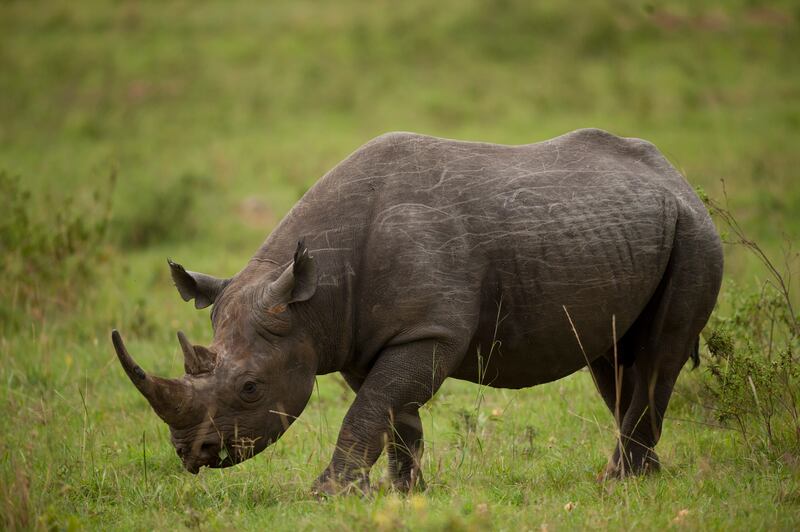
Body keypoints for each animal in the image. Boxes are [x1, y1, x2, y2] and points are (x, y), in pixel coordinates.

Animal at [112, 128, 723, 493]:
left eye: (249, 388)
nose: (191, 454)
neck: (311, 301)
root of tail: (675, 176)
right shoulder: (363, 336)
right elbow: (392, 413)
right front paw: (405, 495)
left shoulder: (428, 331)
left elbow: (369, 409)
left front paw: (329, 494)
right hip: (632, 229)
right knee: (612, 362)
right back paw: (639, 478)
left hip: (696, 233)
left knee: (657, 359)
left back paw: (621, 483)